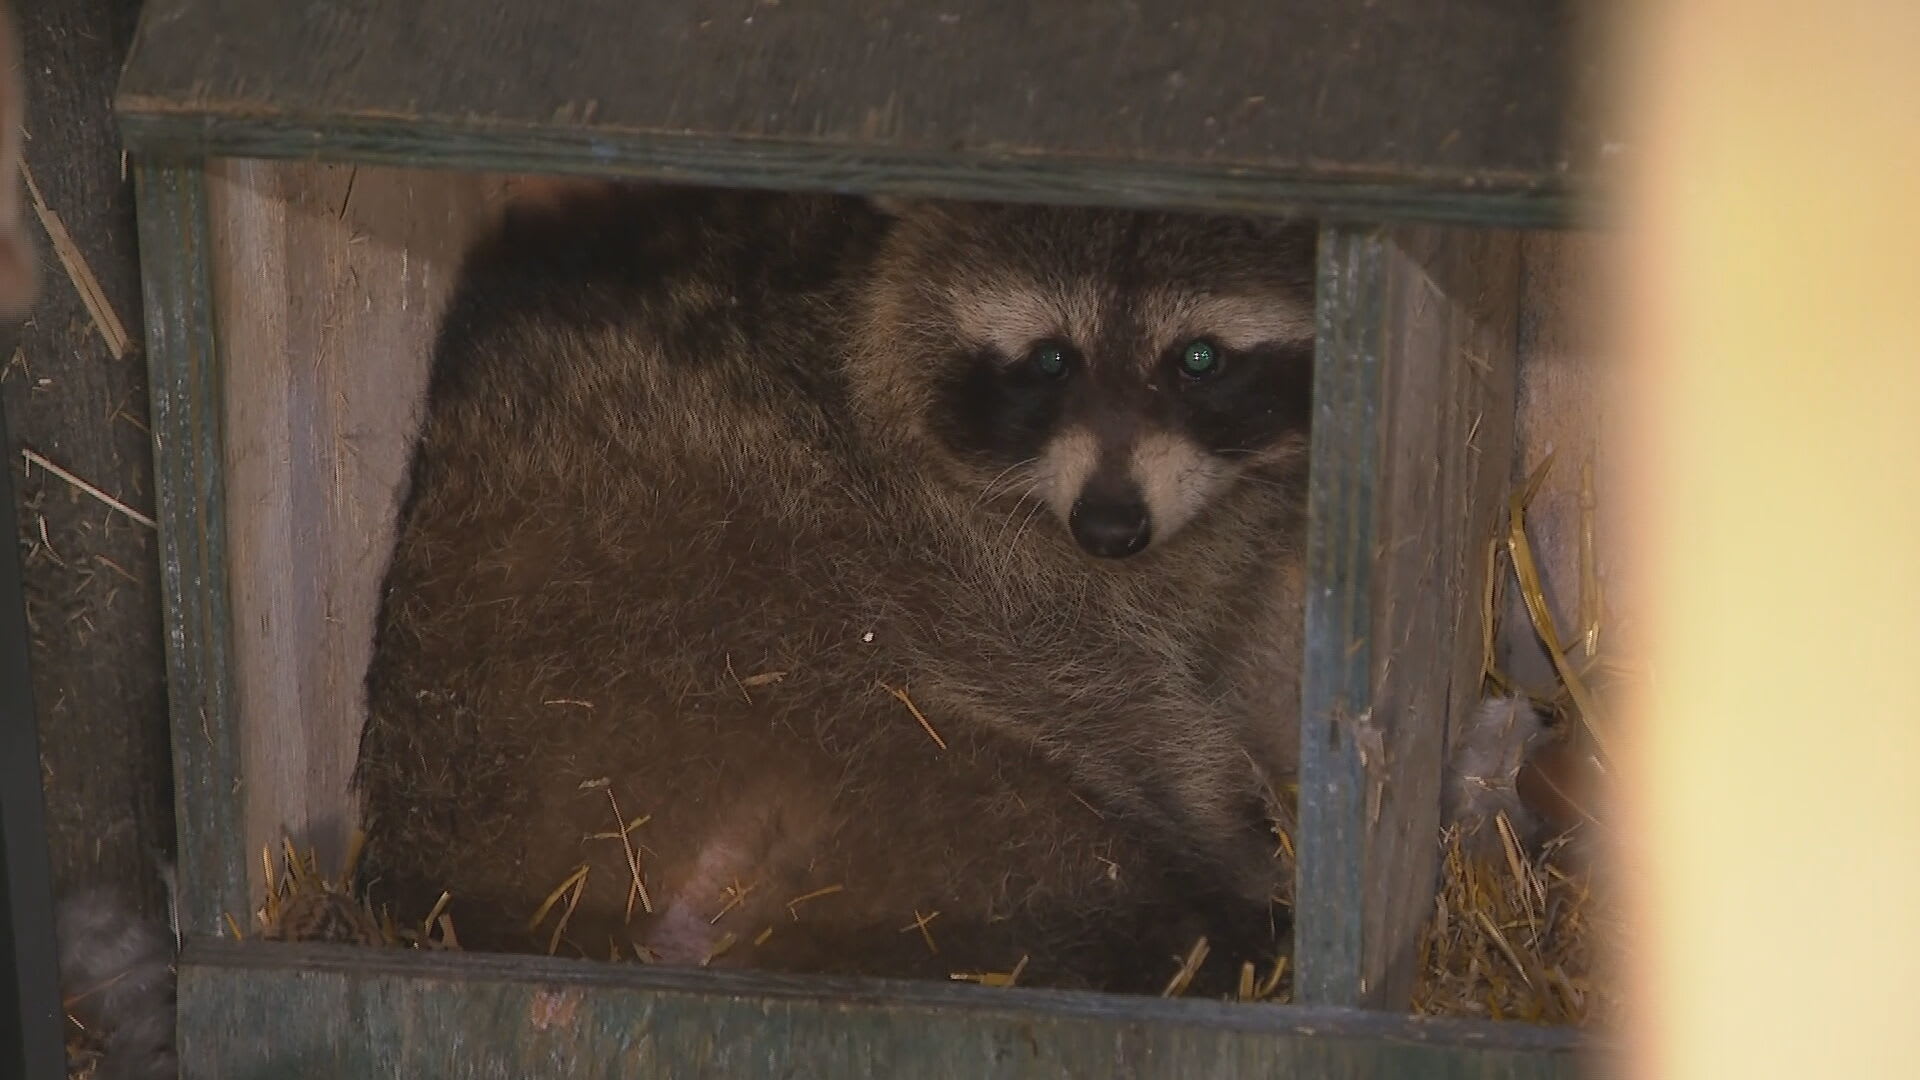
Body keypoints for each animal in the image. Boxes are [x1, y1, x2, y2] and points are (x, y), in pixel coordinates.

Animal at [357, 182, 1320, 991]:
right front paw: (1228, 830)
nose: (1110, 528)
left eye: (1199, 358)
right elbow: (1103, 696)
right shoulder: (945, 547)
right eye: (1051, 360)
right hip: (754, 668)